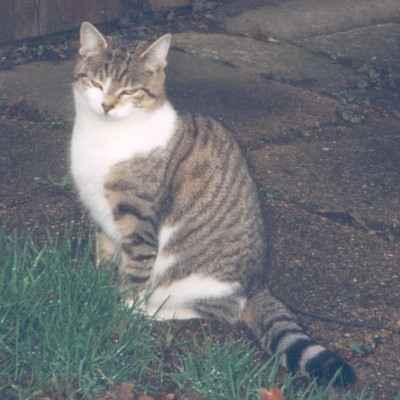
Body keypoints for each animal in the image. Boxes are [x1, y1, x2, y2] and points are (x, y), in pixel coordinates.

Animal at [70, 22, 354, 388]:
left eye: (131, 91)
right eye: (97, 83)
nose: (106, 105)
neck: (104, 138)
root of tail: (258, 285)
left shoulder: (139, 221)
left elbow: (133, 274)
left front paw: (120, 310)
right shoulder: (103, 220)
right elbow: (104, 257)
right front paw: (96, 290)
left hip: (196, 278)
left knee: (220, 310)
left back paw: (153, 310)